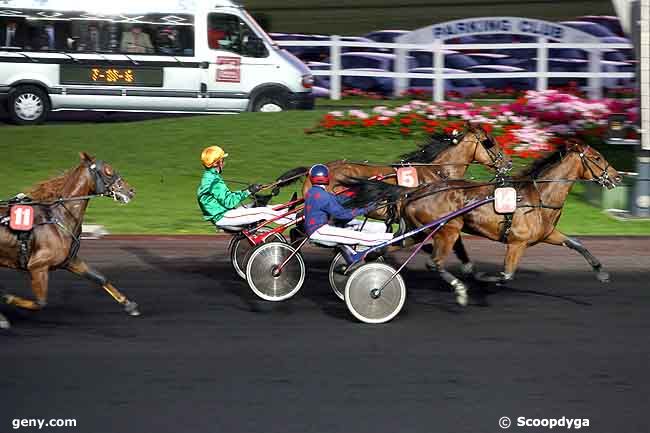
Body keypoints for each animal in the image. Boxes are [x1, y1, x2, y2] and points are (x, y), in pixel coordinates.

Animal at [0, 152, 138, 328]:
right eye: (108, 171)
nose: (130, 191)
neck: (59, 216)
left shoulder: (70, 261)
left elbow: (100, 278)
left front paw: (129, 305)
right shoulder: (37, 266)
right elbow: (40, 302)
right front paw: (7, 298)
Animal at [342, 141, 620, 304]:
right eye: (597, 157)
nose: (616, 177)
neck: (537, 196)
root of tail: (413, 191)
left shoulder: (546, 233)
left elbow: (577, 243)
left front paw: (602, 272)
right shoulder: (517, 243)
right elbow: (506, 274)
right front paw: (485, 280)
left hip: (420, 232)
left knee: (382, 249)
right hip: (448, 229)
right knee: (434, 262)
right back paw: (458, 290)